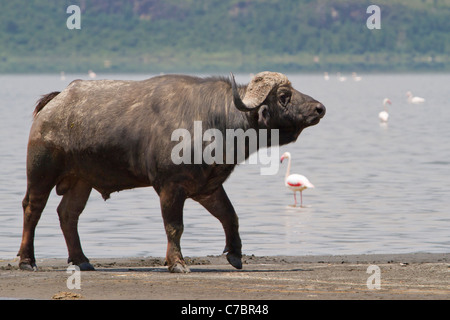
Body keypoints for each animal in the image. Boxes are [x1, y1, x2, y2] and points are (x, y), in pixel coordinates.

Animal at [18, 72, 324, 272]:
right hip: (41, 172)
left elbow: (230, 216)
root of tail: (54, 103)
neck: (215, 121)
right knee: (32, 209)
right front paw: (177, 263)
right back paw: (27, 260)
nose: (319, 108)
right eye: (283, 96)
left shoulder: (207, 186)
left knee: (68, 214)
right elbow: (174, 226)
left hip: (82, 180)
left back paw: (81, 260)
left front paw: (235, 255)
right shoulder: (170, 187)